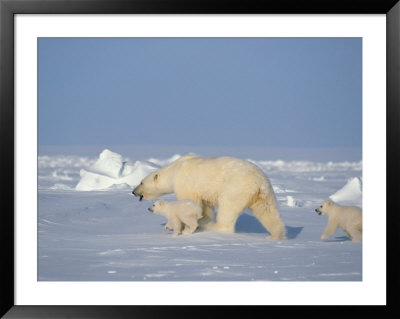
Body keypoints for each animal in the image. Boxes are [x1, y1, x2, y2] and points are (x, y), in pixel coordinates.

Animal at [133, 154, 286, 240]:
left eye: (141, 182)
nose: (134, 192)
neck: (175, 169)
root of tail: (259, 182)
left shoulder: (185, 183)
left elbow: (189, 203)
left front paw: (185, 227)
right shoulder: (204, 193)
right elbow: (205, 209)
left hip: (236, 187)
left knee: (227, 209)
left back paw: (212, 226)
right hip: (264, 194)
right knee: (268, 212)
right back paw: (275, 235)